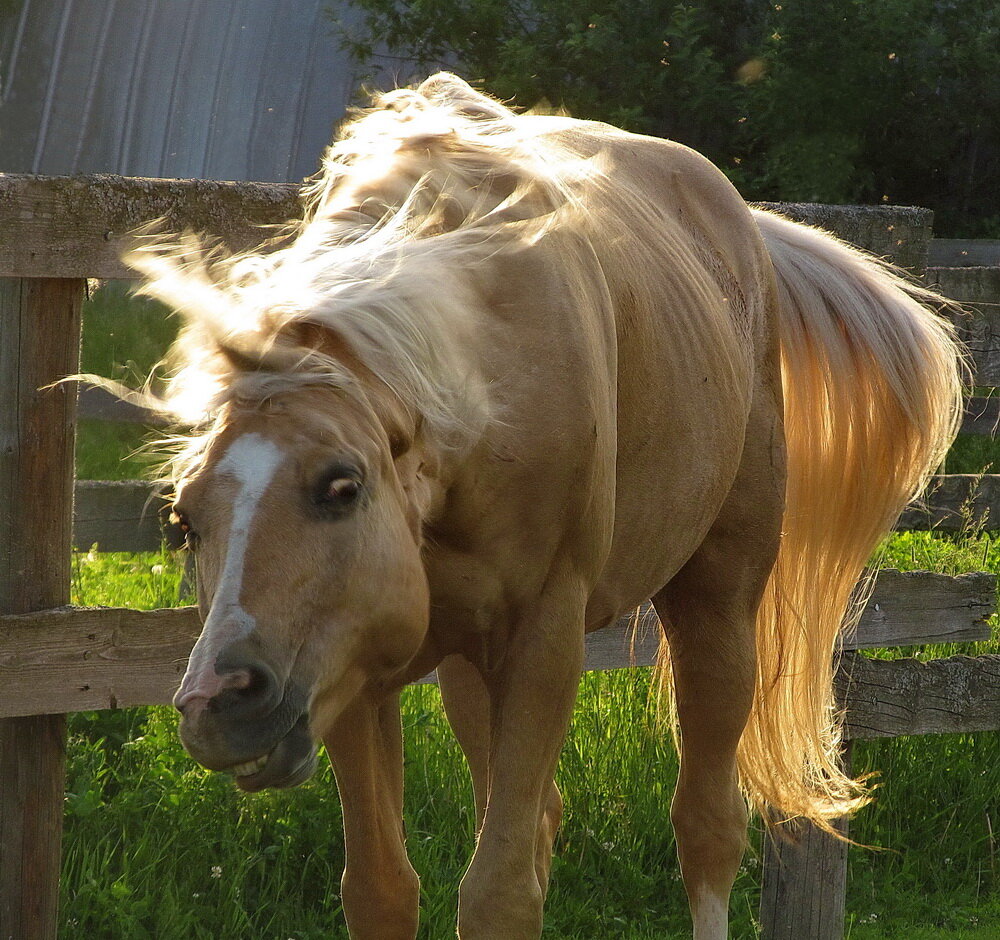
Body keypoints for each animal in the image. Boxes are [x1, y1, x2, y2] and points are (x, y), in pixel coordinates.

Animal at [123, 70, 960, 936]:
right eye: (184, 519)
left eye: (340, 487)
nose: (218, 703)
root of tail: (743, 234)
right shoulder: (349, 667)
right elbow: (383, 888)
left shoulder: (542, 645)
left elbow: (499, 892)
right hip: (466, 666)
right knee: (544, 817)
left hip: (718, 607)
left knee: (708, 827)